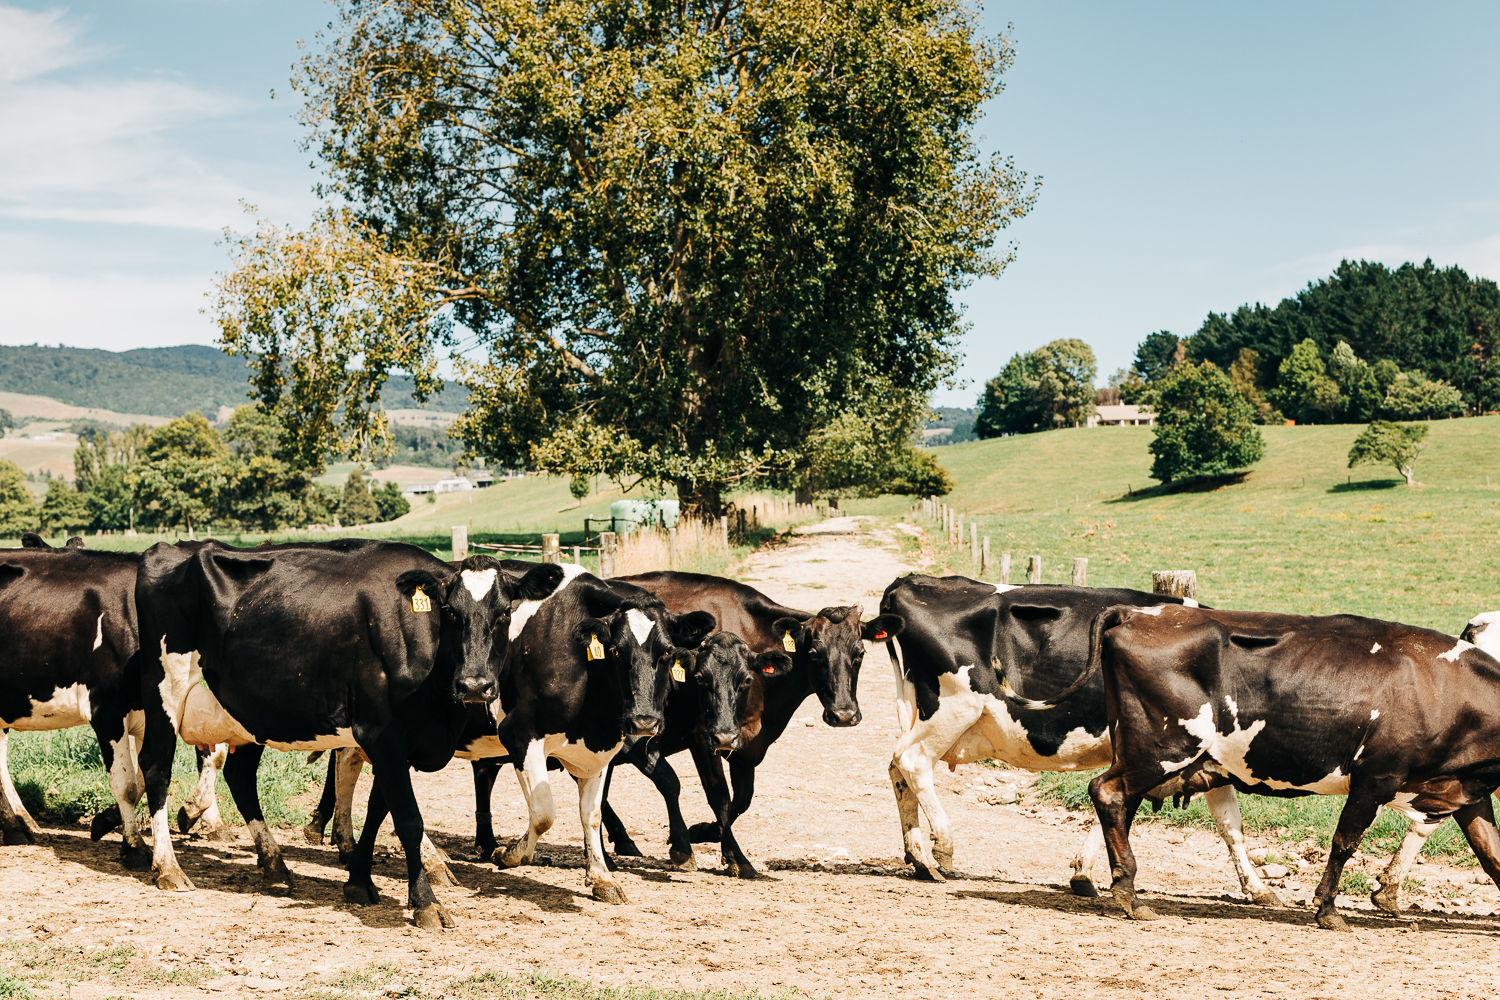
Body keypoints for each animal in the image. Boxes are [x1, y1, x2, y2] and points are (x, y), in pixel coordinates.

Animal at [136, 539, 564, 929]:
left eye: (505, 613)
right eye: (449, 612)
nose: (474, 685)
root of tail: (169, 549)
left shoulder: (399, 743)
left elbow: (377, 809)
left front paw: (358, 881)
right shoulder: (383, 733)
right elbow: (408, 819)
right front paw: (425, 902)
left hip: (249, 711)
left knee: (239, 776)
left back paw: (275, 865)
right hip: (164, 693)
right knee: (156, 770)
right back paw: (168, 867)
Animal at [876, 569, 1278, 905]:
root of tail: (911, 581)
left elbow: (1229, 824)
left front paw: (1257, 887)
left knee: (897, 768)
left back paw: (918, 858)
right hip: (954, 707)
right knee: (913, 762)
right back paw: (942, 848)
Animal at [1080, 602, 1500, 929]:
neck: (1446, 692)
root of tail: (1138, 612)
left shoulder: (1468, 793)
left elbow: (1492, 856)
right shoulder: (1375, 777)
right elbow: (1345, 842)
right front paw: (1327, 909)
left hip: (1142, 752)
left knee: (1120, 804)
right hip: (1162, 749)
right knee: (1107, 792)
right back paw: (1128, 894)